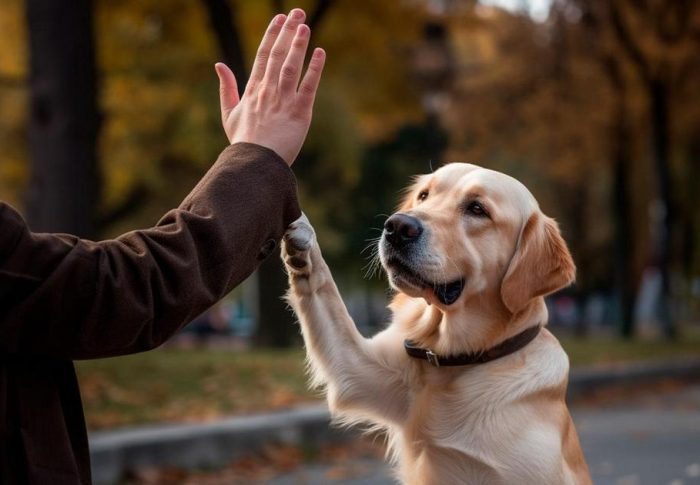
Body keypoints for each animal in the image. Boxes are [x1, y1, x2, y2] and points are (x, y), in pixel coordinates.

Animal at [278, 163, 592, 484]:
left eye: (477, 209)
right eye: (424, 195)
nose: (397, 227)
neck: (456, 359)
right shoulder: (357, 369)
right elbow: (325, 290)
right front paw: (300, 234)